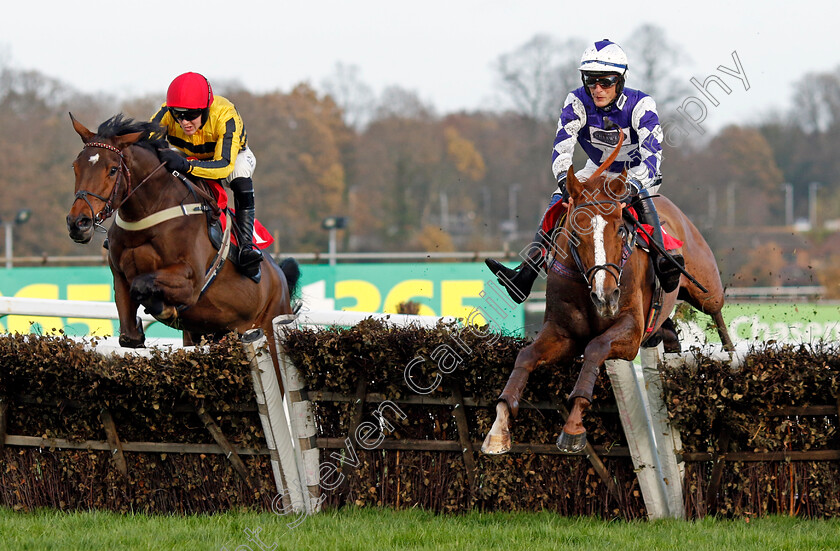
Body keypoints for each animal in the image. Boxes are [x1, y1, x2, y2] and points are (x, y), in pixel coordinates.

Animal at [67, 113, 300, 354]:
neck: (149, 214)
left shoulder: (191, 282)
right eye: (75, 167)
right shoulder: (120, 278)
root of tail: (280, 276)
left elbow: (142, 283)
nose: (78, 223)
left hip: (269, 322)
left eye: (113, 169)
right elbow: (129, 337)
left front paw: (162, 307)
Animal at [482, 146, 732, 452]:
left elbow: (596, 347)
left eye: (620, 230)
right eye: (576, 230)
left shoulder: (631, 331)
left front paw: (573, 426)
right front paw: (499, 426)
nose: (606, 296)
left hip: (706, 289)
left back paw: (730, 354)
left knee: (718, 314)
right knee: (670, 334)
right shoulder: (563, 333)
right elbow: (527, 355)